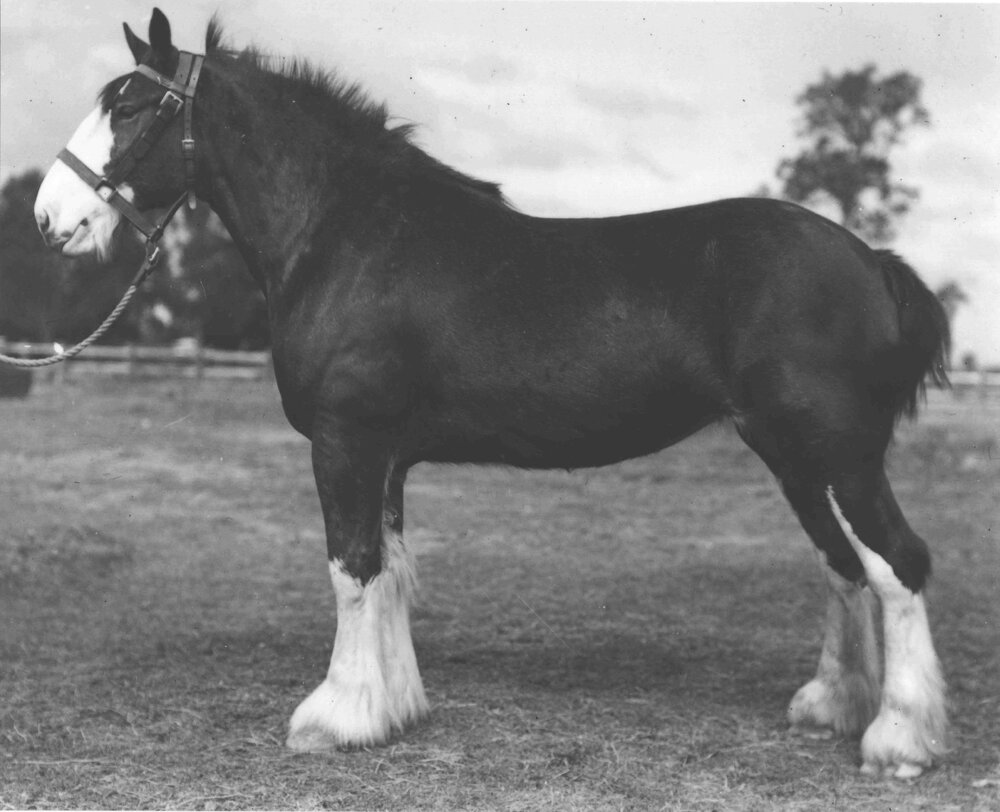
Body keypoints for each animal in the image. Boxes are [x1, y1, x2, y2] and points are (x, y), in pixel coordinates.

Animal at [34, 9, 950, 777]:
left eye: (129, 107)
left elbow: (351, 571)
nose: (48, 218)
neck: (344, 234)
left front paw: (333, 718)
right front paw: (391, 710)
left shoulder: (345, 441)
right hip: (795, 457)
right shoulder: (386, 457)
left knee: (897, 564)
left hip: (838, 455)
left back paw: (899, 742)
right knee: (844, 567)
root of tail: (870, 261)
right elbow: (392, 572)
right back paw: (834, 707)